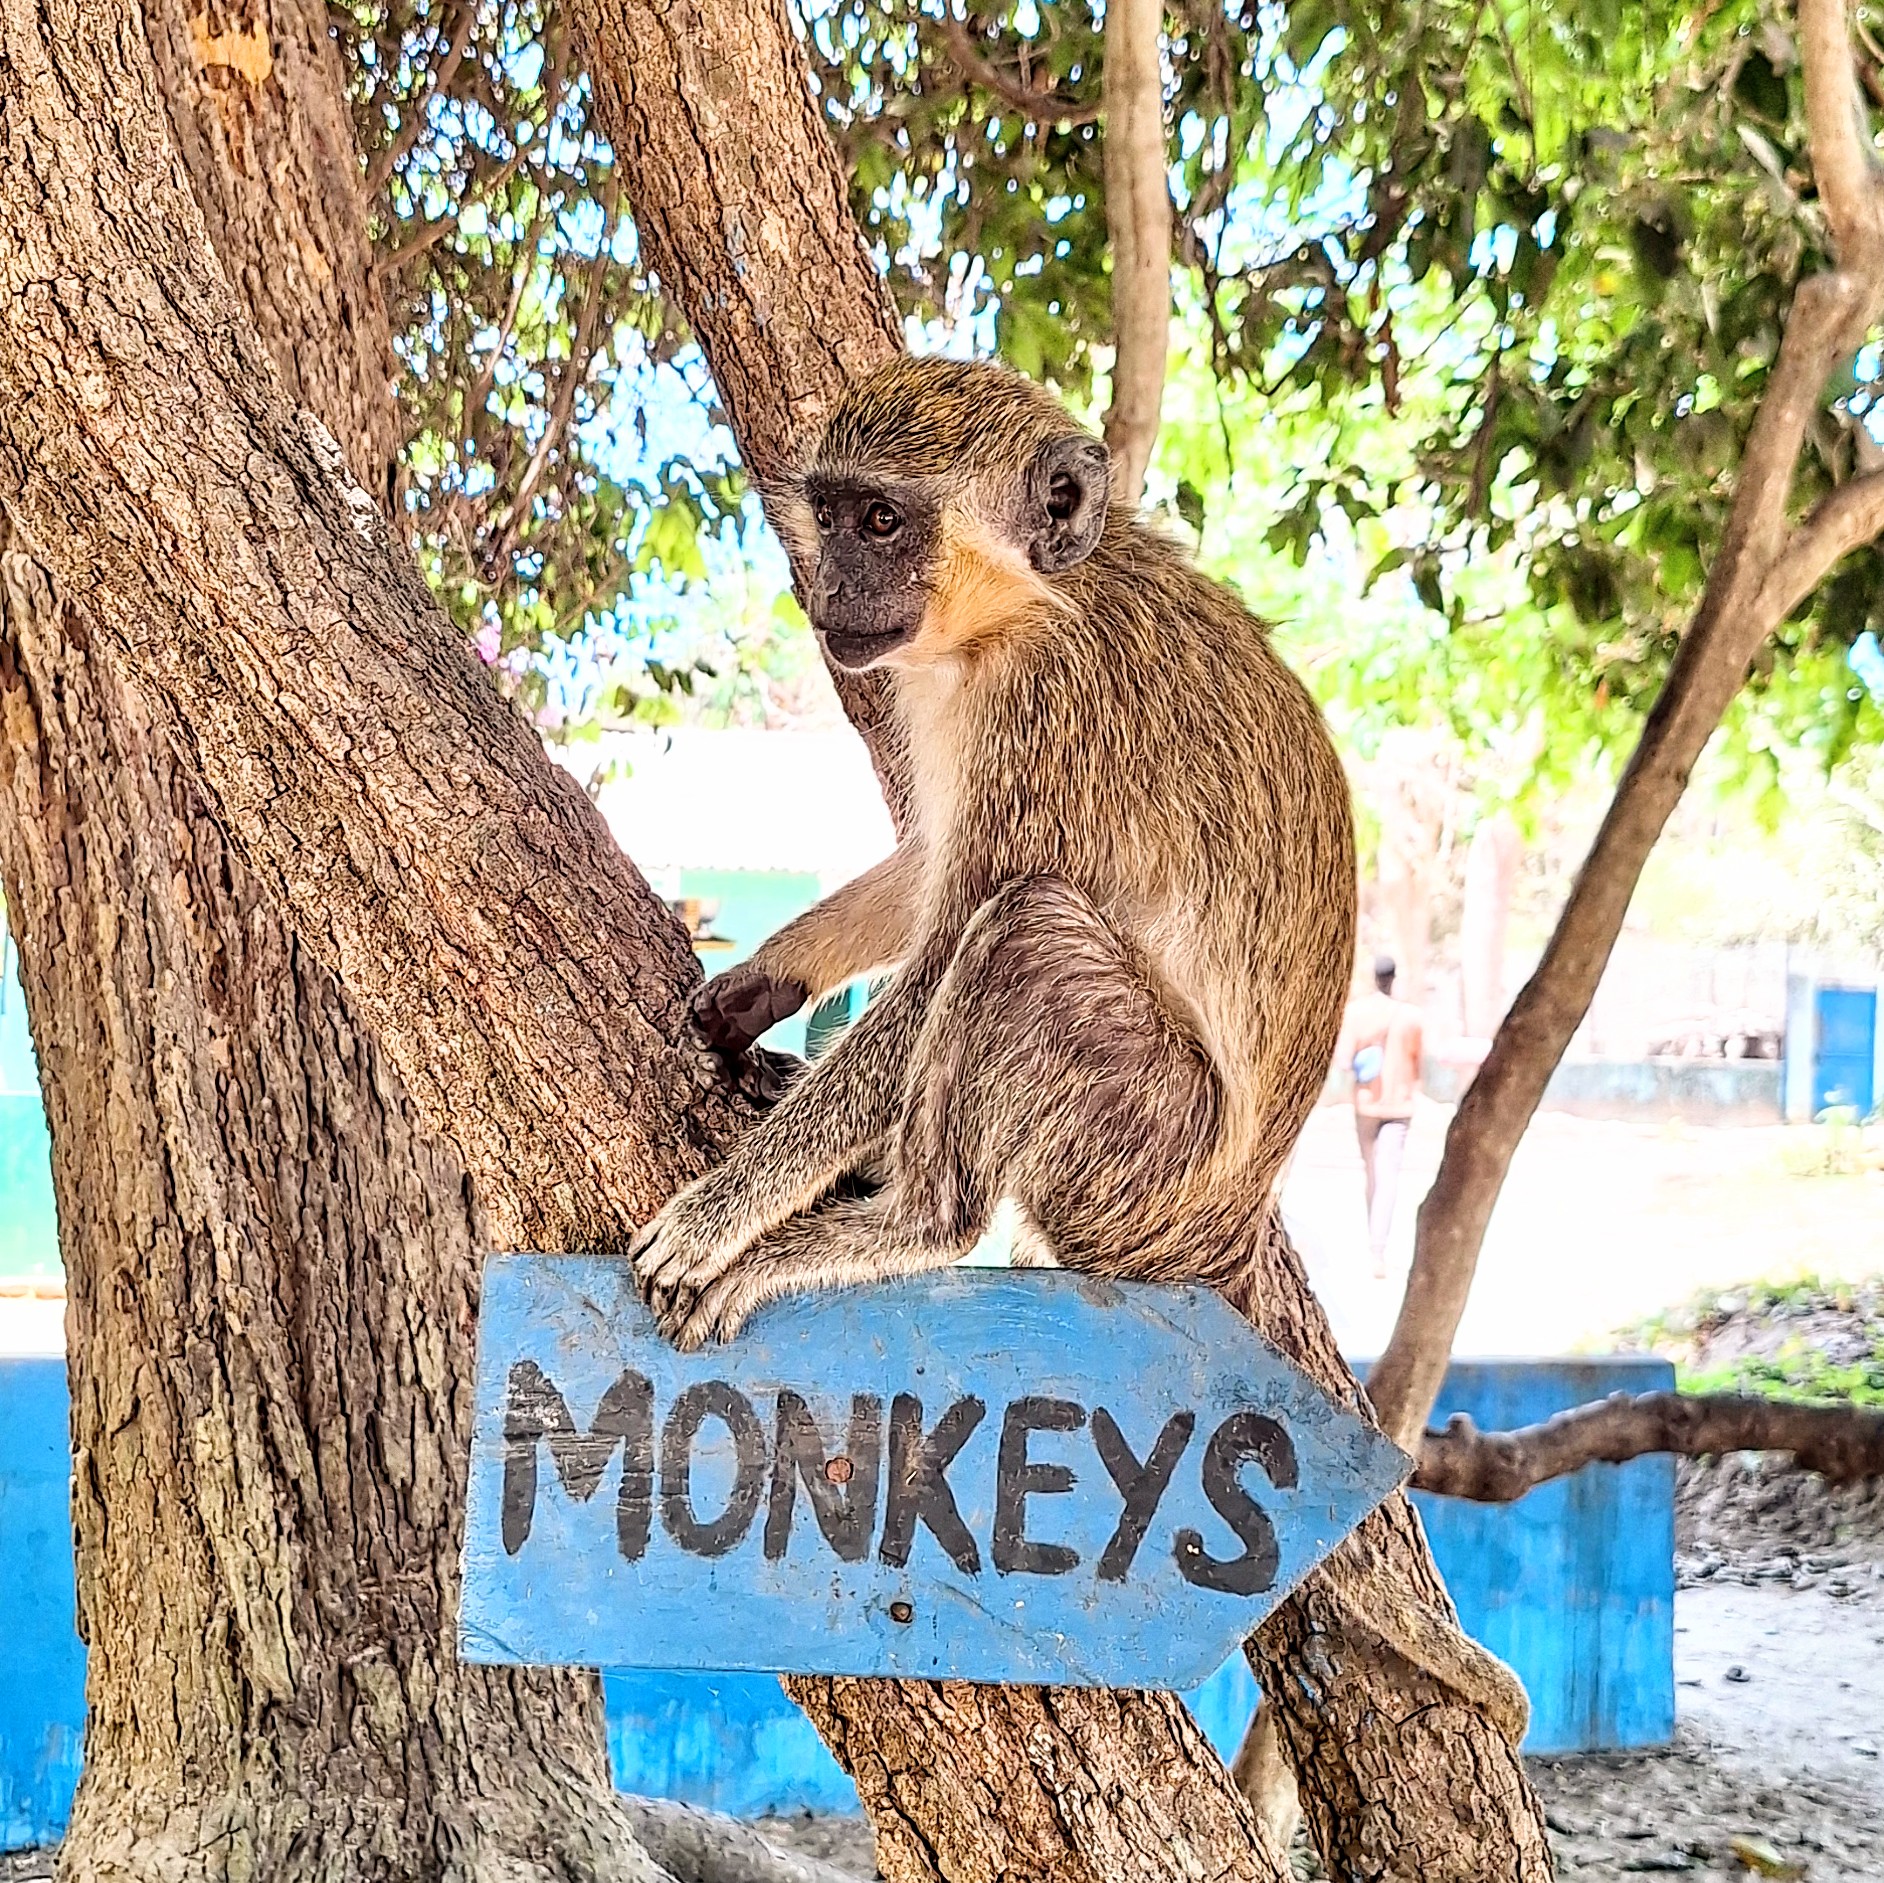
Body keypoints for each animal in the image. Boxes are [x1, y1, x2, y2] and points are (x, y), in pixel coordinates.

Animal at [633, 355, 1357, 1351]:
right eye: (830, 513)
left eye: (883, 521)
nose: (826, 594)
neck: (1025, 607)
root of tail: (1221, 1233)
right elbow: (930, 858)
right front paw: (756, 985)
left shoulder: (1051, 706)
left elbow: (944, 948)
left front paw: (727, 1211)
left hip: (1144, 1152)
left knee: (1025, 928)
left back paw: (907, 1223)